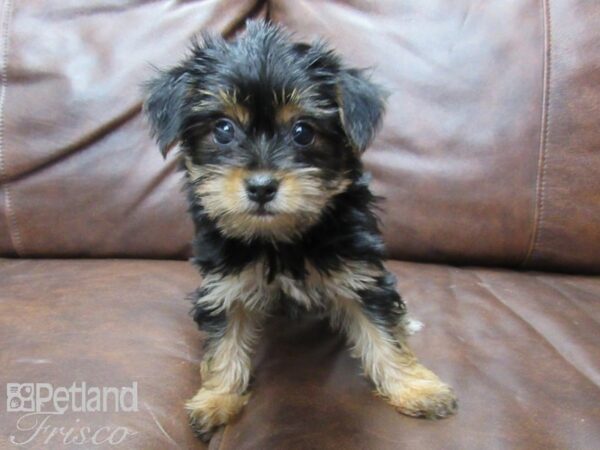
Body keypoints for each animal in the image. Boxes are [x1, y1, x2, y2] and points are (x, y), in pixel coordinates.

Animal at [143, 20, 458, 440]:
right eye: (223, 129)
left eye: (303, 132)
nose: (261, 186)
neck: (281, 239)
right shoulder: (224, 284)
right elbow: (223, 340)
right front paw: (218, 398)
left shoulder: (359, 271)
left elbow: (382, 332)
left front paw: (416, 388)